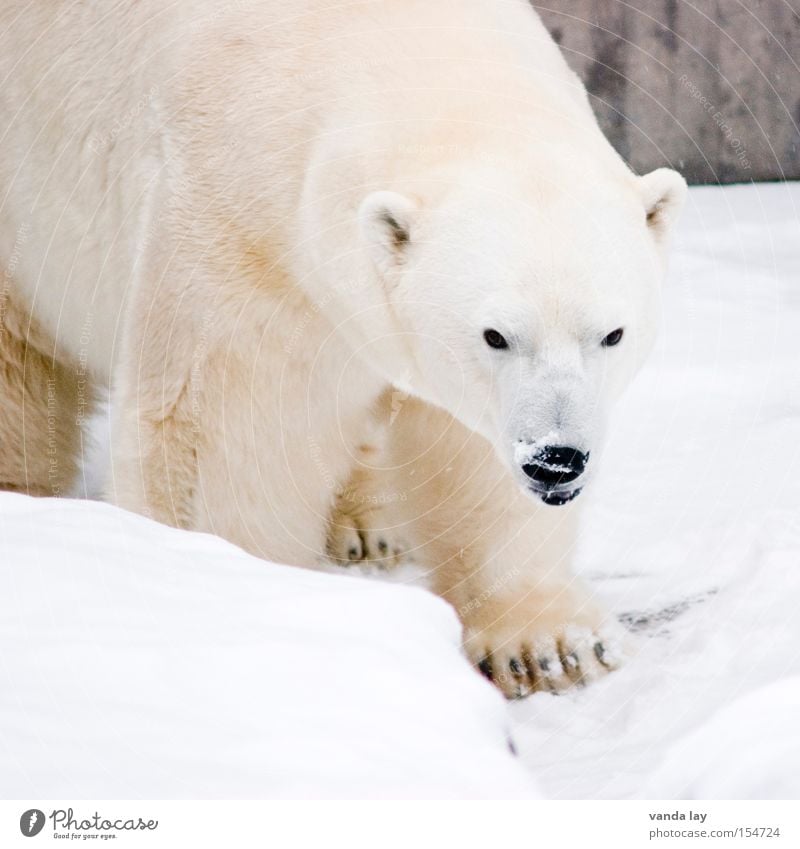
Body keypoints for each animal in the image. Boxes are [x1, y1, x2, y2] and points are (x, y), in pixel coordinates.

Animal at [0, 0, 684, 696]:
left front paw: (550, 648)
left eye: (612, 334)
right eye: (494, 335)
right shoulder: (237, 223)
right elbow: (221, 431)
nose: (556, 461)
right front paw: (229, 595)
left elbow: (469, 448)